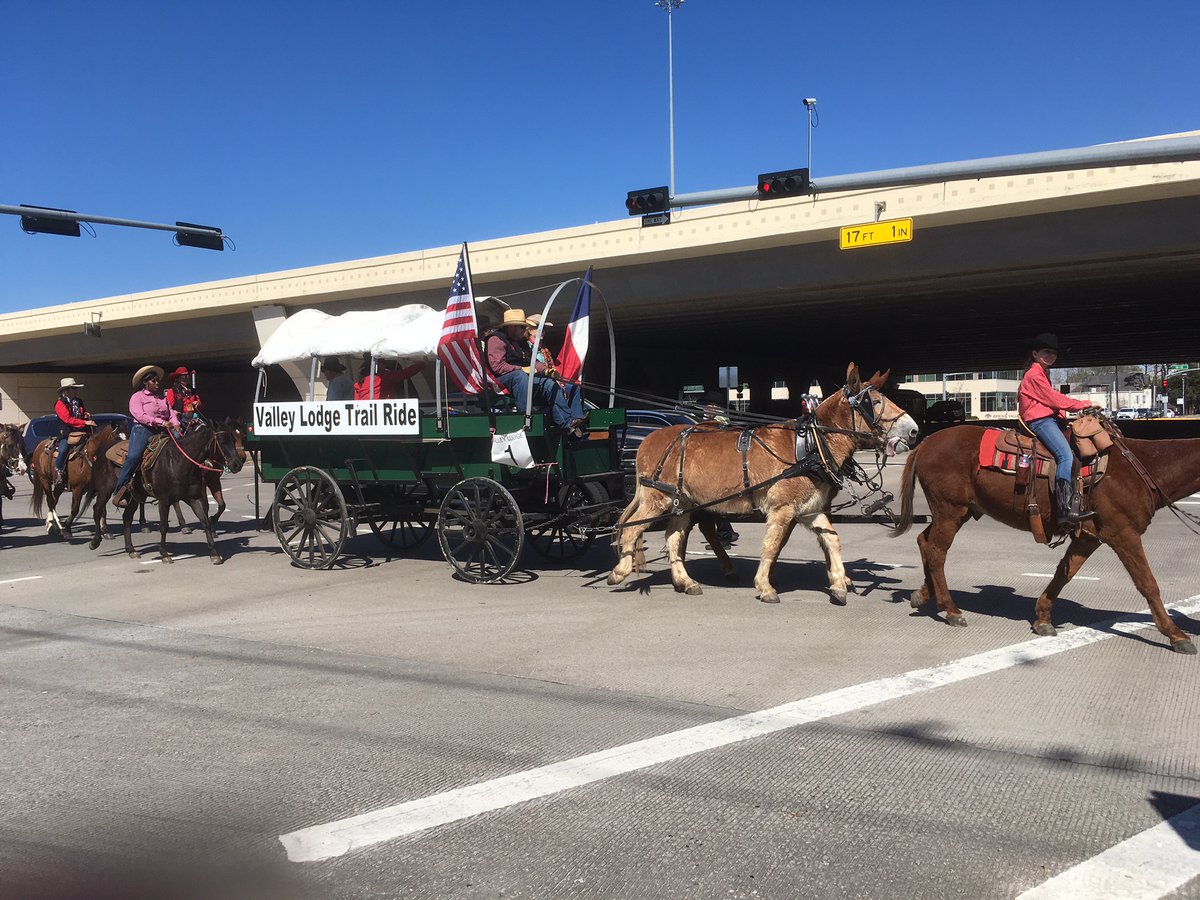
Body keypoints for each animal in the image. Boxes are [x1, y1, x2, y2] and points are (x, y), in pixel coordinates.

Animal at [609, 367, 916, 607]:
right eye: (874, 401)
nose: (913, 430)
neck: (810, 445)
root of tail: (648, 440)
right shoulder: (783, 509)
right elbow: (771, 545)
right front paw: (766, 586)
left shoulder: (809, 509)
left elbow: (831, 540)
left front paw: (840, 583)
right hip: (657, 498)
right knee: (632, 529)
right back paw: (620, 571)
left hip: (682, 503)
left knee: (673, 537)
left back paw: (685, 581)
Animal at [892, 422, 1200, 657]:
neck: (1141, 467)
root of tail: (926, 442)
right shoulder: (1124, 534)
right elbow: (1148, 584)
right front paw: (1176, 634)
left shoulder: (1090, 537)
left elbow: (1065, 573)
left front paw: (1042, 617)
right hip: (950, 511)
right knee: (936, 551)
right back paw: (951, 610)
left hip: (956, 512)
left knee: (924, 542)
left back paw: (924, 595)